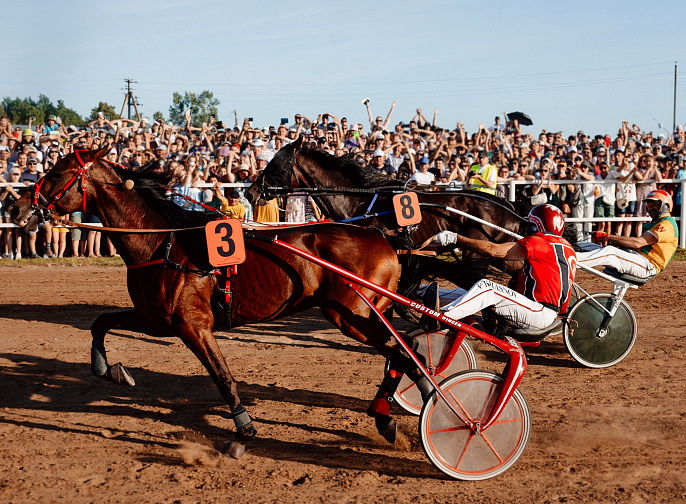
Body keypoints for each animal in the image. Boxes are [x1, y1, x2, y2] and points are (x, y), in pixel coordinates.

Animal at [9, 148, 424, 454]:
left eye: (56, 172)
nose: (16, 208)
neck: (161, 242)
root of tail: (380, 235)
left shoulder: (193, 325)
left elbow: (223, 376)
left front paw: (243, 429)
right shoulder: (156, 320)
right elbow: (100, 323)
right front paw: (109, 369)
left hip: (350, 315)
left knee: (403, 354)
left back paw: (401, 413)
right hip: (367, 314)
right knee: (405, 350)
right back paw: (393, 410)